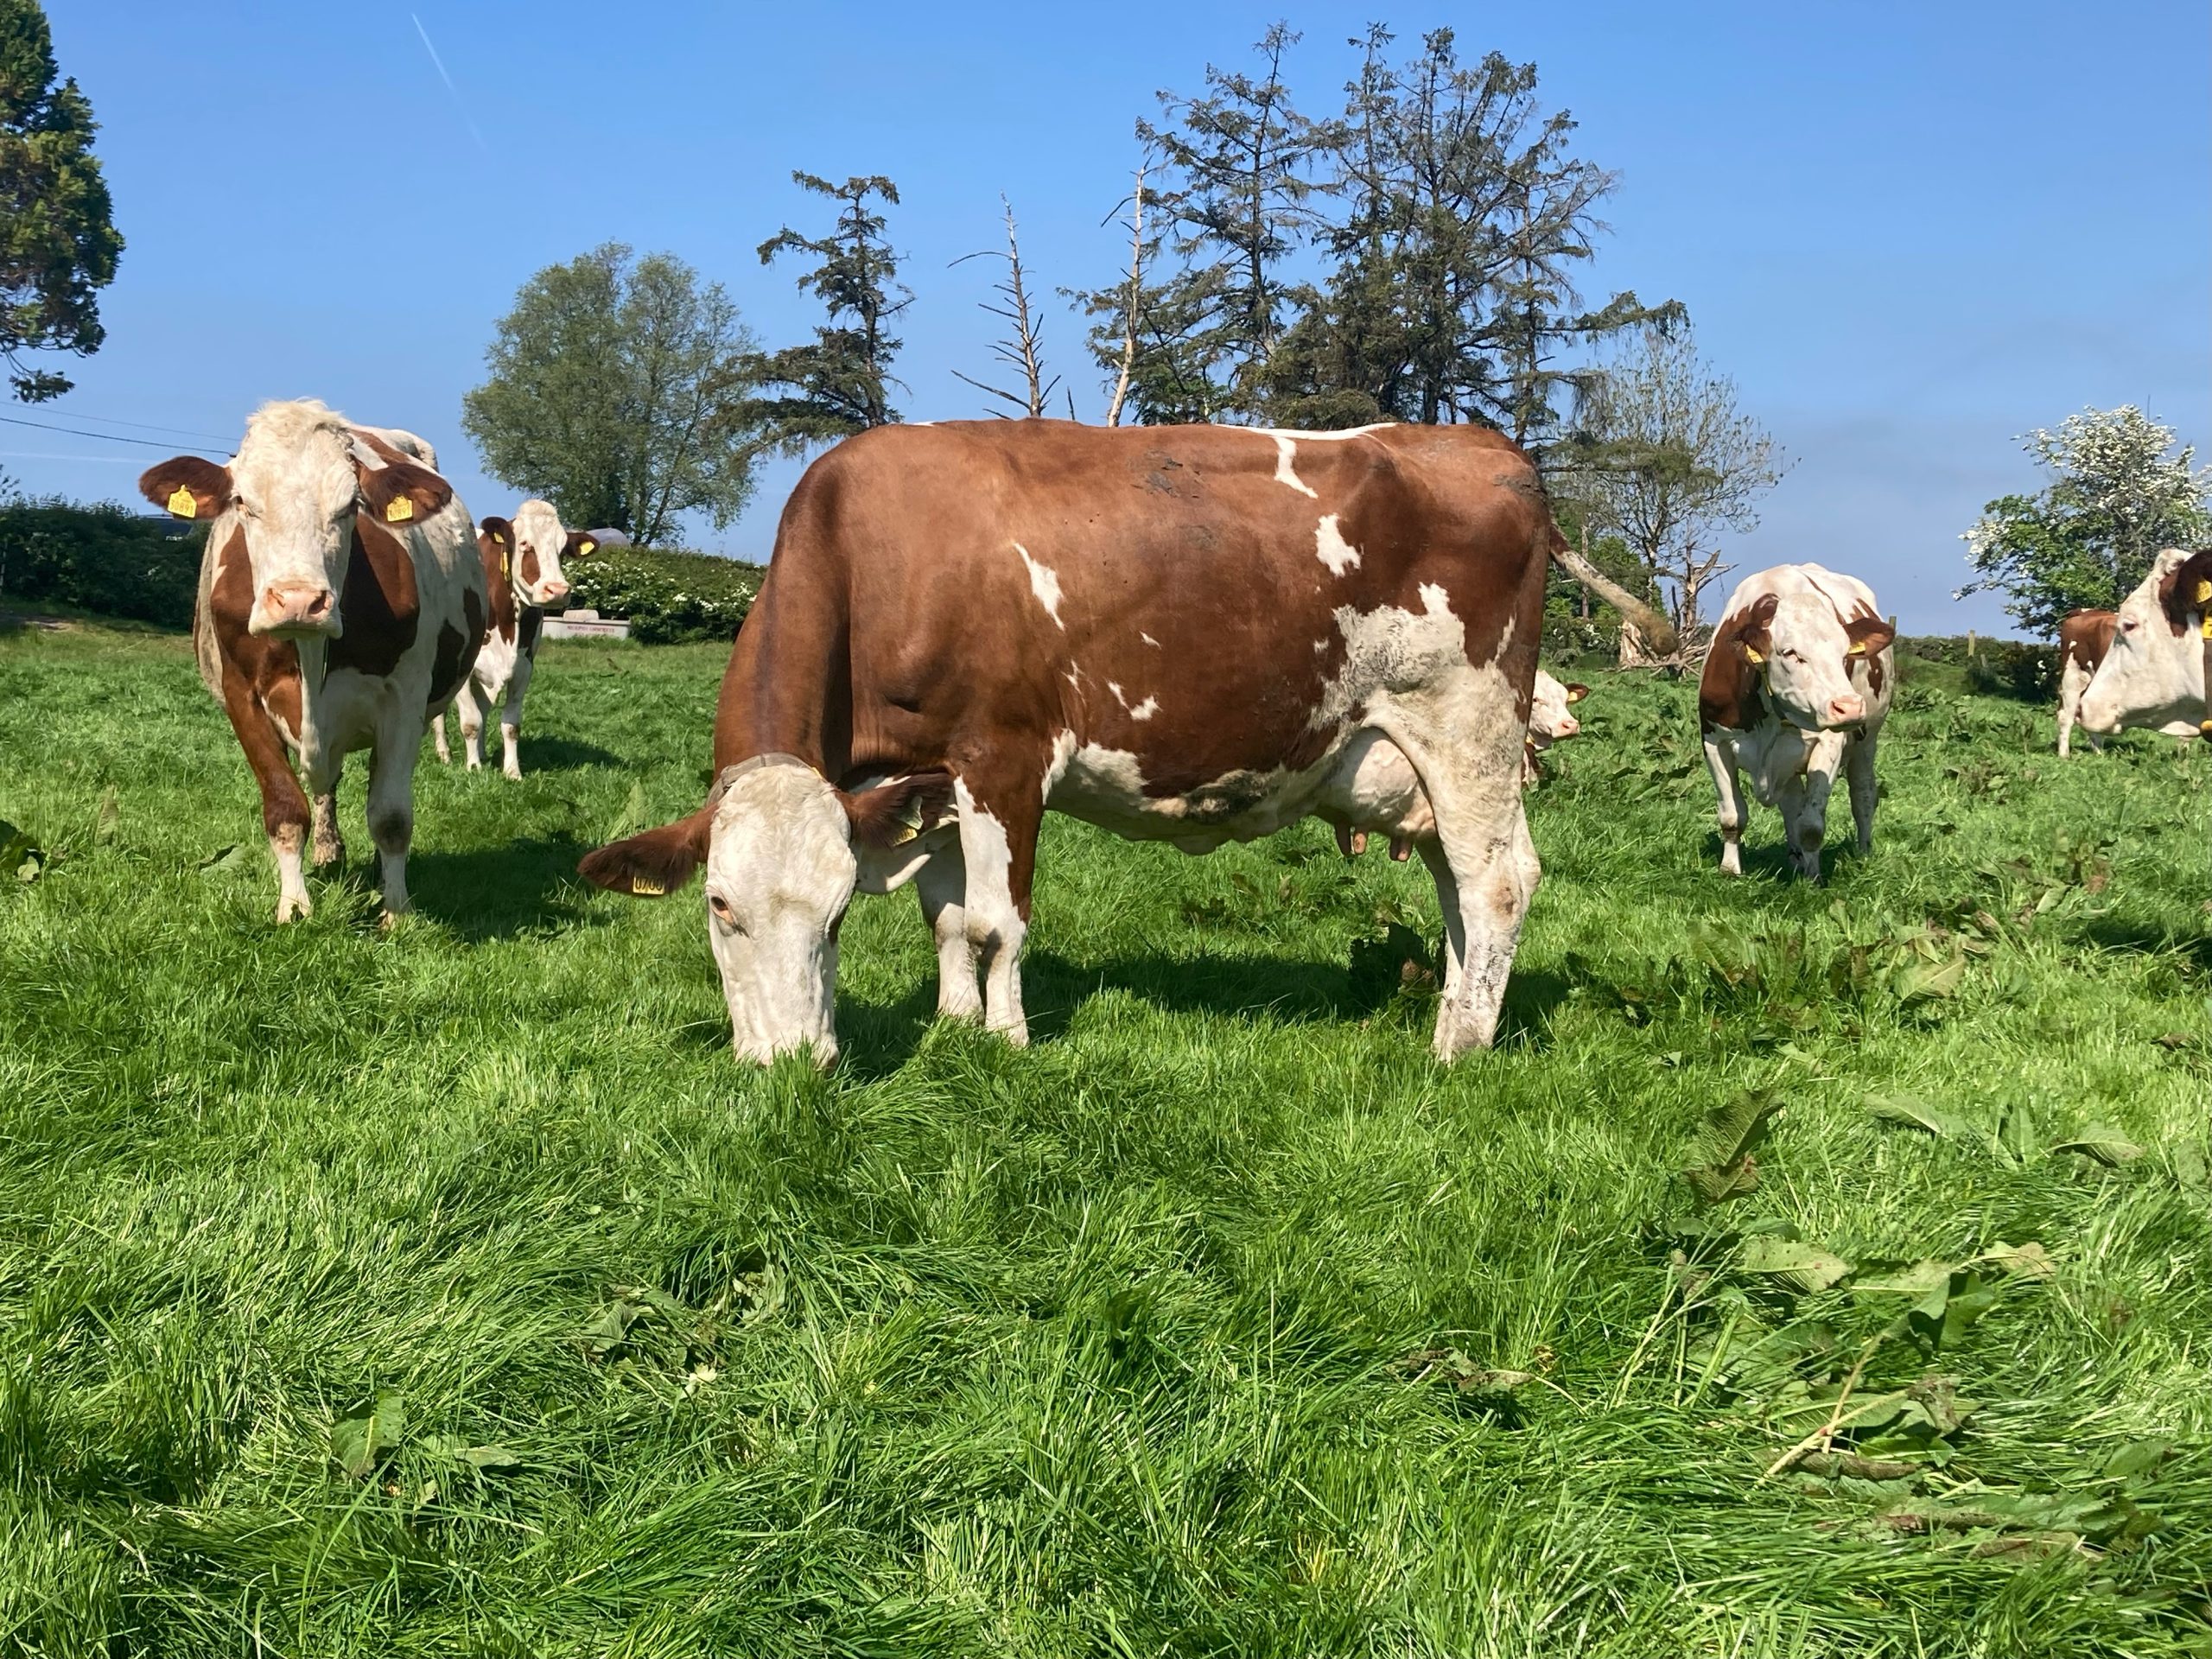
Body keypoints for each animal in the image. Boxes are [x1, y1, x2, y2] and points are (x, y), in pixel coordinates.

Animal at [137, 400, 485, 923]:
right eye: (243, 502)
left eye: (351, 506)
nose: (299, 600)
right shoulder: (242, 697)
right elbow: (284, 808)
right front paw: (294, 907)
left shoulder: (404, 700)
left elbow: (390, 816)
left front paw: (396, 911)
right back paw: (327, 850)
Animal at [431, 501, 594, 777]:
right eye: (525, 543)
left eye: (563, 550)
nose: (558, 590)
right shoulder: (464, 667)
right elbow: (470, 722)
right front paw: (473, 767)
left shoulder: (524, 668)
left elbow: (510, 725)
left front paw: (511, 771)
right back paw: (444, 753)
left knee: (484, 708)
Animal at [576, 419, 1679, 1065]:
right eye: (719, 907)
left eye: (838, 915)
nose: (792, 1066)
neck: (883, 550)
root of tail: (1492, 448)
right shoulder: (931, 773)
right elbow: (945, 917)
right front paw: (953, 1023)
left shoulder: (1005, 753)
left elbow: (995, 923)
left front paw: (1005, 1045)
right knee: (1456, 880)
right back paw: (1452, 1015)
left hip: (1468, 728)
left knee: (1497, 881)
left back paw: (1459, 1050)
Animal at [1698, 564, 1896, 880]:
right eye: (1790, 652)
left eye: (1845, 654)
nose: (1849, 707)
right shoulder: (1714, 741)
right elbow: (1732, 815)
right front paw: (1730, 870)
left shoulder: (1829, 742)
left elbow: (1811, 825)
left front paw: (1812, 876)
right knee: (1791, 805)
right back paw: (1794, 858)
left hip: (1868, 741)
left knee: (1863, 795)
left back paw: (1862, 852)